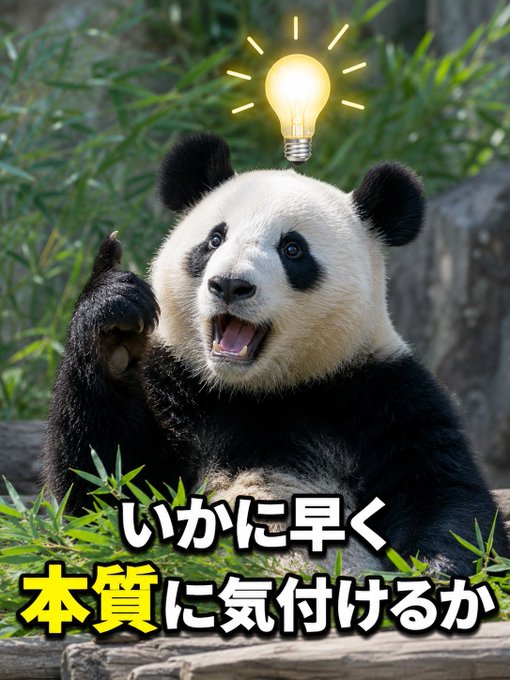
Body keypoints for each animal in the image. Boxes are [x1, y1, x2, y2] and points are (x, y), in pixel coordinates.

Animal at [43, 132, 509, 575]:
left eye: (292, 249)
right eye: (215, 239)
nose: (230, 285)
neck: (258, 390)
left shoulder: (380, 392)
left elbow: (442, 494)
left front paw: (439, 568)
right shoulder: (173, 382)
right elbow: (104, 486)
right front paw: (114, 329)